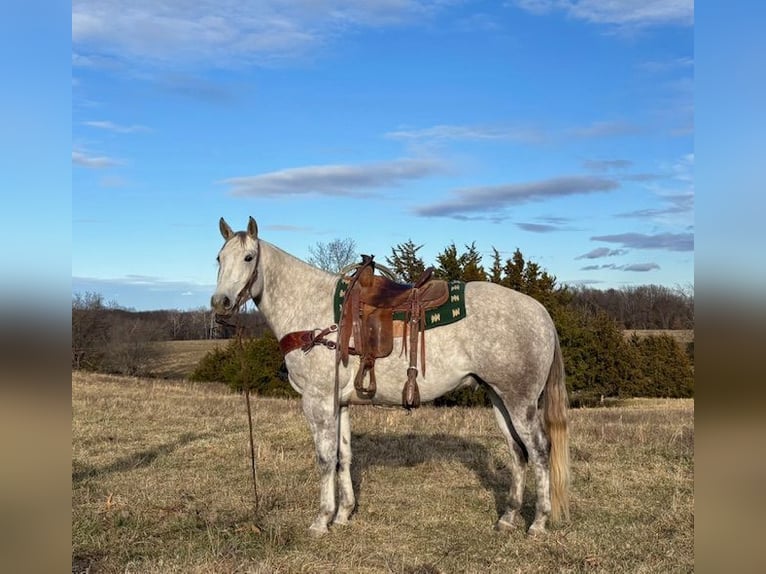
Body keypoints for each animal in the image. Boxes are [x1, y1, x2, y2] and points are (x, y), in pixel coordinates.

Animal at [210, 218, 568, 536]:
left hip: (520, 402)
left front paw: (321, 520)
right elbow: (344, 456)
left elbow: (325, 459)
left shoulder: (318, 402)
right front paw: (344, 514)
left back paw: (538, 523)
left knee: (538, 450)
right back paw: (507, 518)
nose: (220, 303)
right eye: (219, 258)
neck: (313, 313)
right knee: (517, 452)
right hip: (498, 397)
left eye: (249, 257)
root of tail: (540, 312)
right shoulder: (340, 404)